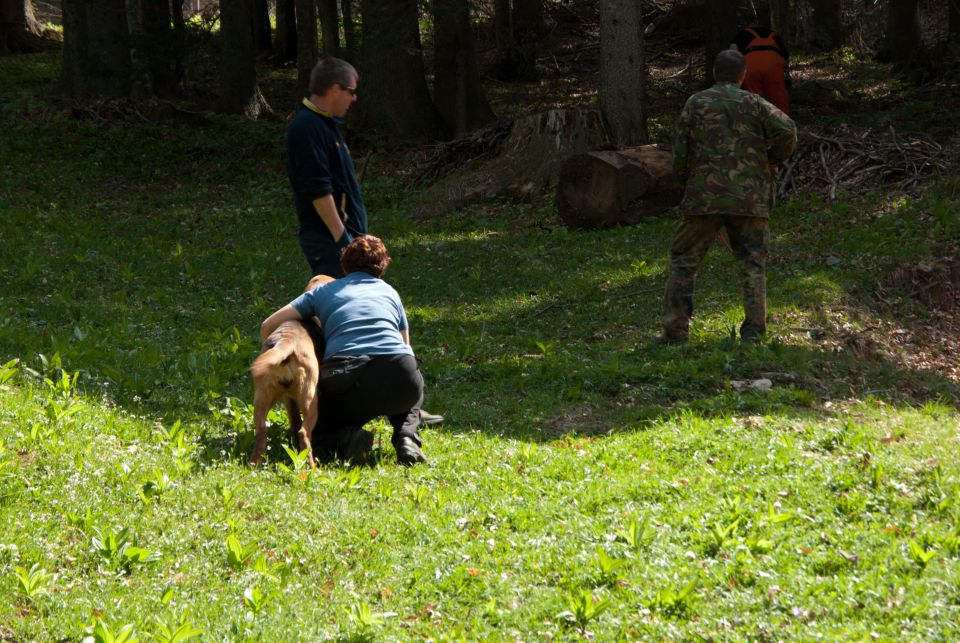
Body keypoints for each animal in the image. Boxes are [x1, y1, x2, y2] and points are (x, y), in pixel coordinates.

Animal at [249, 274, 336, 466]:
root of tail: (285, 342)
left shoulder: (288, 399)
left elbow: (294, 422)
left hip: (262, 399)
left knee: (262, 432)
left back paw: (254, 465)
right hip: (310, 400)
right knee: (304, 433)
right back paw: (312, 467)